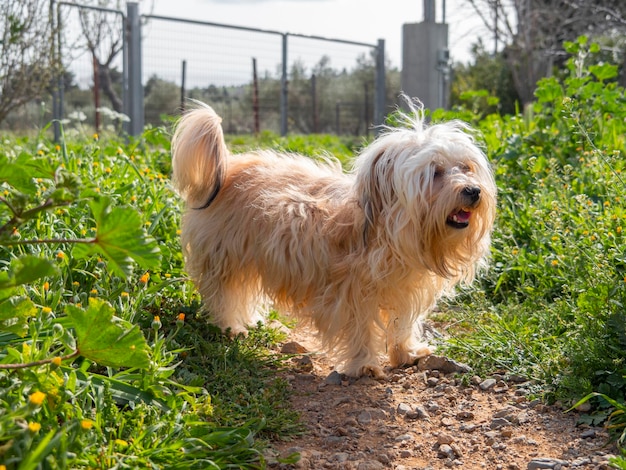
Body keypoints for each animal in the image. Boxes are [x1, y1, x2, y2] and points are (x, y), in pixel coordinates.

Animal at [169, 99, 492, 378]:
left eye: (466, 167)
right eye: (435, 172)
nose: (473, 191)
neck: (388, 232)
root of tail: (227, 165)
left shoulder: (402, 289)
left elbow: (401, 323)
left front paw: (406, 353)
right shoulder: (350, 292)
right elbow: (360, 329)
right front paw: (365, 364)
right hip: (225, 257)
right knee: (225, 294)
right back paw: (231, 327)